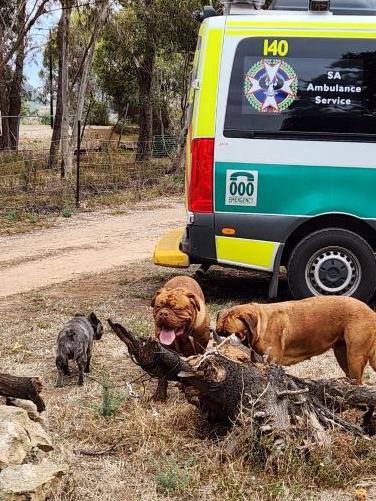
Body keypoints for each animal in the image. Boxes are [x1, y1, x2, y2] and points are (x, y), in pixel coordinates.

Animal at [216, 294, 376, 384]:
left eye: (230, 333)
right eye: (219, 331)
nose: (220, 338)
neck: (261, 322)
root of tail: (371, 312)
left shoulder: (272, 361)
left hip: (355, 356)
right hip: (343, 355)